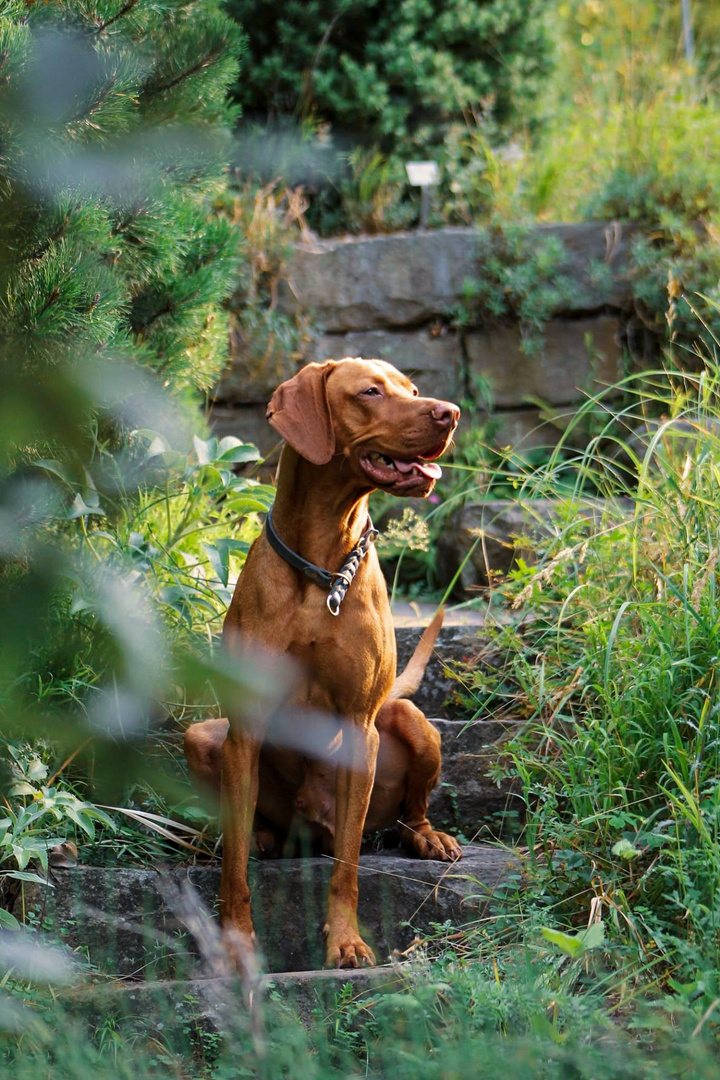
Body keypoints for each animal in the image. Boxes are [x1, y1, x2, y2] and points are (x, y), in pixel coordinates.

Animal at [208, 356, 459, 972]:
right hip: (203, 737)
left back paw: (428, 836)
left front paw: (345, 941)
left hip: (411, 722)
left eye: (412, 389)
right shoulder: (243, 732)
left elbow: (347, 867)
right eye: (370, 392)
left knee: (407, 811)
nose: (451, 412)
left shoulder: (359, 729)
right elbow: (233, 869)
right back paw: (265, 837)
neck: (322, 567)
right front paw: (237, 943)